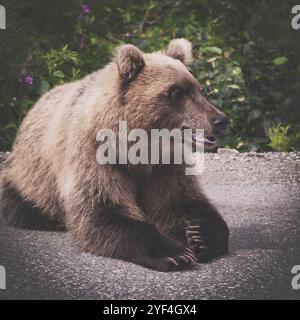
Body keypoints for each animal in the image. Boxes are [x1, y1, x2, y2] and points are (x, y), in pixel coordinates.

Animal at [0, 38, 230, 272]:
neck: (136, 149)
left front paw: (200, 236)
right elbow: (102, 211)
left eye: (199, 89)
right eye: (176, 92)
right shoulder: (95, 156)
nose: (220, 120)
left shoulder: (165, 163)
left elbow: (183, 200)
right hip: (31, 176)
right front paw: (175, 253)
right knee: (21, 202)